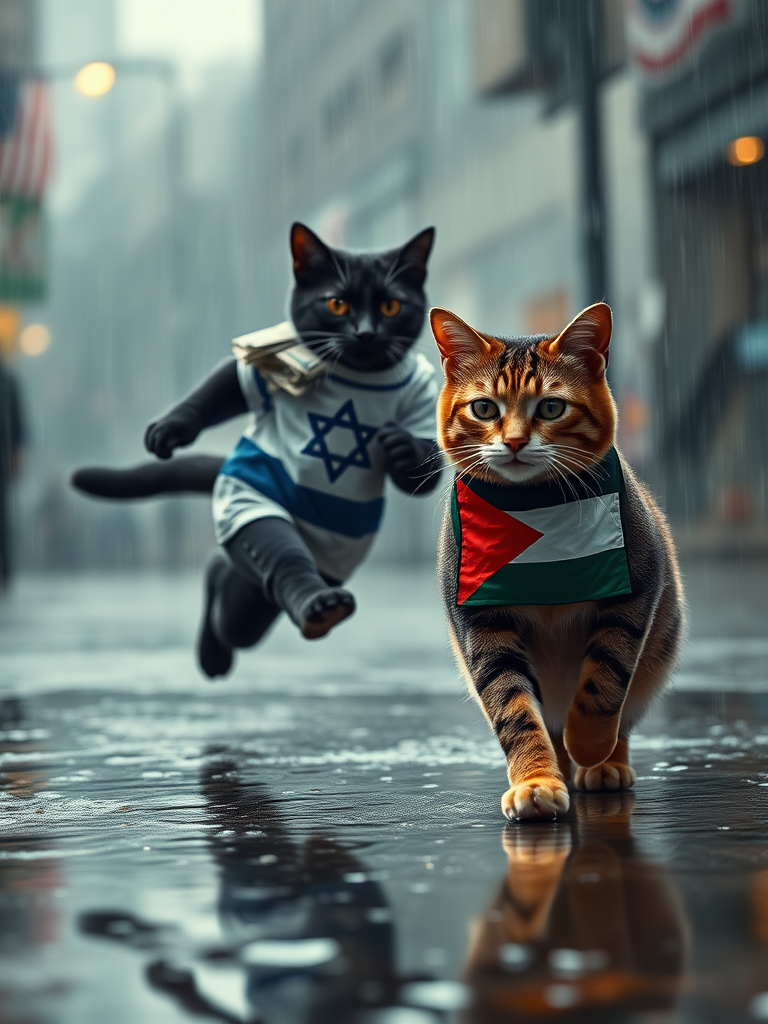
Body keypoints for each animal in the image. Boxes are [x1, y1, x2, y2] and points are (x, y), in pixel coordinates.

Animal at [75, 220, 444, 675]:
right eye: (337, 304)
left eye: (391, 307)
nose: (365, 333)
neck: (360, 375)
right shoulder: (262, 370)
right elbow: (220, 387)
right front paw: (171, 428)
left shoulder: (424, 395)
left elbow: (420, 472)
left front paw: (400, 446)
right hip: (249, 503)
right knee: (265, 564)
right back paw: (314, 606)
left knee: (235, 596)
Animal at [430, 299, 688, 819]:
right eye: (484, 408)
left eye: (551, 406)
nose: (513, 442)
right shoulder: (479, 624)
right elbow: (513, 709)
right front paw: (536, 779)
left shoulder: (636, 595)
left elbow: (605, 684)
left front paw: (589, 744)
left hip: (659, 648)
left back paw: (603, 764)